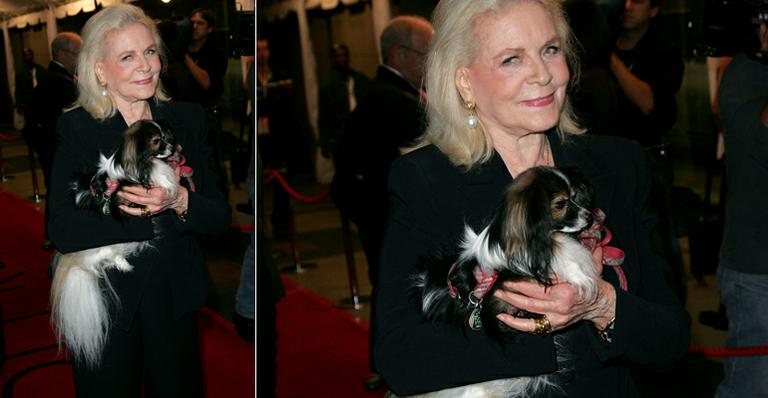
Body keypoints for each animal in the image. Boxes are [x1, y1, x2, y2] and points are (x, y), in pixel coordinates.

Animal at [49, 119, 178, 368]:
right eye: (157, 141)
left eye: (167, 135)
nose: (172, 146)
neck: (142, 164)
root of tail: (74, 260)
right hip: (104, 247)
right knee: (103, 259)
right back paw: (123, 263)